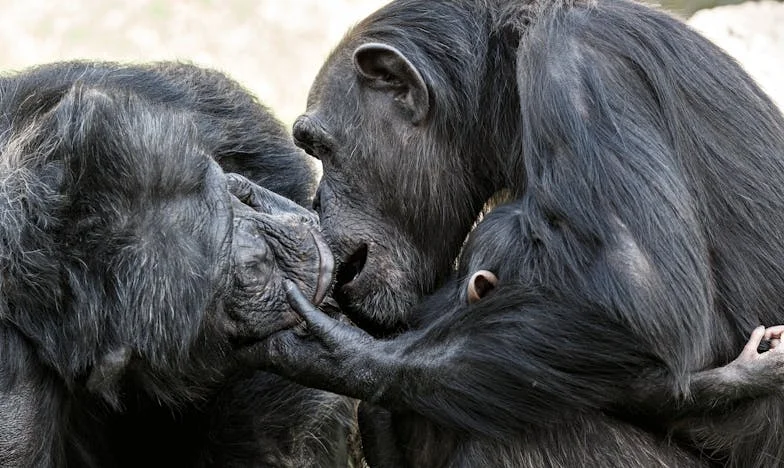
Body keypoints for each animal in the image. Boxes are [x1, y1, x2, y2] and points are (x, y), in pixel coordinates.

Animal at [260, 0, 784, 466]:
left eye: (320, 147)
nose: (316, 201)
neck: (505, 84)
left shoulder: (576, 70)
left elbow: (647, 296)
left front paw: (334, 350)